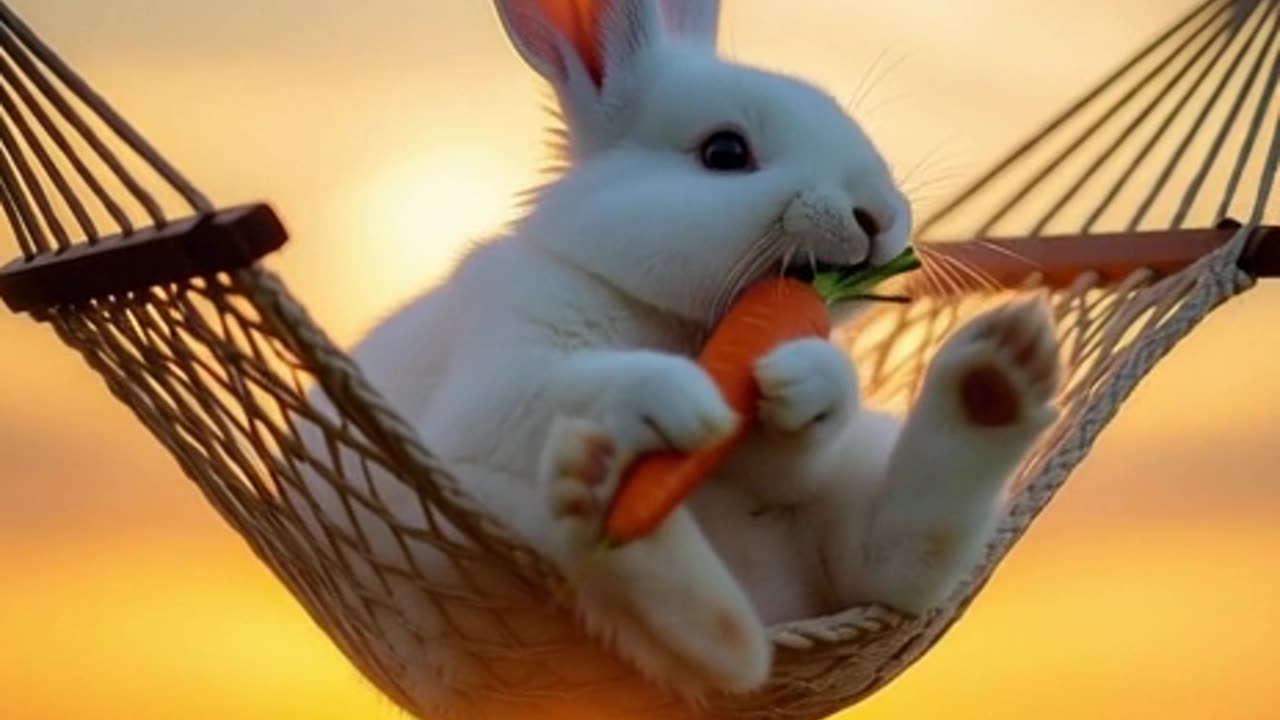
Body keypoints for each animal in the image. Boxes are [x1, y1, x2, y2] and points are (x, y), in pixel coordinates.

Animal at [289, 0, 1063, 716]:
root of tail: (772, 601)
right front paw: (687, 403)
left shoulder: (784, 454)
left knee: (891, 565)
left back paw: (996, 383)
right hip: (459, 532)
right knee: (692, 620)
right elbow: (570, 387)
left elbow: (793, 445)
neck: (687, 328)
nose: (879, 215)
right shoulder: (493, 391)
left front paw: (807, 385)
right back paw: (606, 497)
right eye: (724, 153)